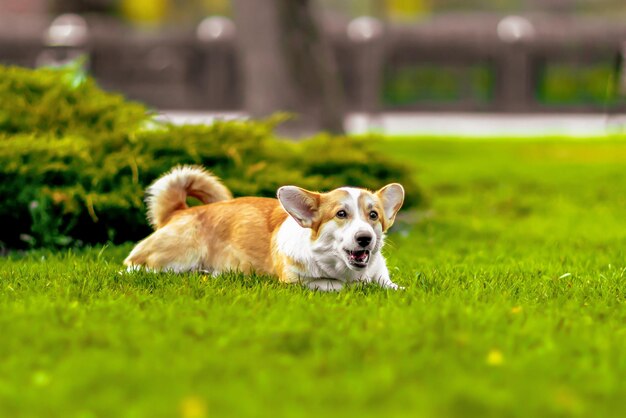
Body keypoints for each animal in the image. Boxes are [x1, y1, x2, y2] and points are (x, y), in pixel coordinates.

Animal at [124, 166, 402, 290]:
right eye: (341, 214)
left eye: (373, 215)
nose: (365, 238)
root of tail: (179, 210)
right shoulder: (298, 281)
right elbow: (332, 284)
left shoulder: (381, 277)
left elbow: (390, 286)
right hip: (177, 254)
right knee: (135, 267)